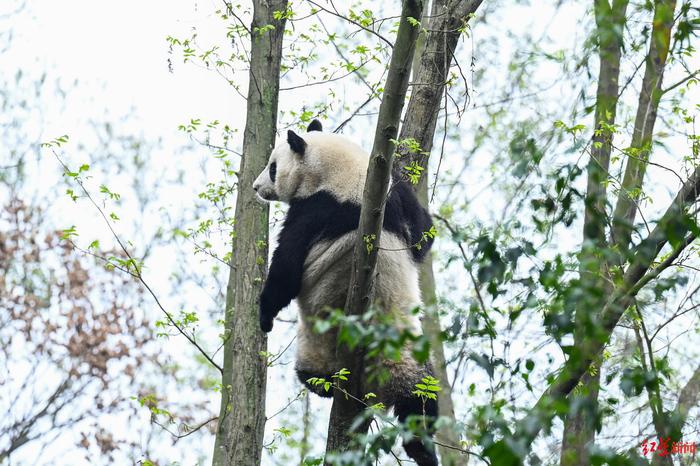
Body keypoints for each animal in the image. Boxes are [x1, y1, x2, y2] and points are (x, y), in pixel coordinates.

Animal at [252, 118, 438, 464]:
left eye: (272, 168)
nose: (257, 188)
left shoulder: (313, 211)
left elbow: (287, 270)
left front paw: (265, 315)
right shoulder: (398, 192)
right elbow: (424, 237)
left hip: (320, 348)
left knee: (312, 375)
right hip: (410, 355)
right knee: (423, 399)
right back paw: (423, 447)